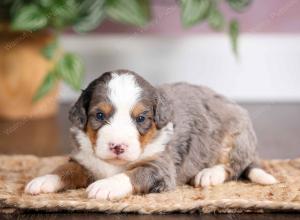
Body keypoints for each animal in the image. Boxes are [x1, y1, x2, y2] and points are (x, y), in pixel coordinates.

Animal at [25, 69, 276, 200]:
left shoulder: (161, 167)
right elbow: (65, 169)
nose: (118, 146)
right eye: (99, 115)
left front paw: (106, 186)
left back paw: (208, 174)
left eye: (141, 118)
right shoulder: (85, 160)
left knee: (233, 166)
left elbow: (133, 174)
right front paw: (43, 180)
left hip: (236, 136)